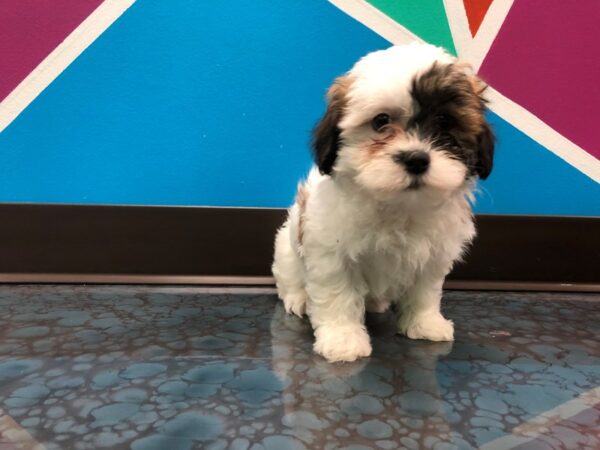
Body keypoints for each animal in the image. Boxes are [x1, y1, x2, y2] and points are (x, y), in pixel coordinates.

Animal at [272, 43, 492, 362]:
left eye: (444, 121)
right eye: (380, 121)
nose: (416, 159)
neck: (398, 206)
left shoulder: (434, 254)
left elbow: (425, 291)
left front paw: (425, 323)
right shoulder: (330, 253)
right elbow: (337, 294)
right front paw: (343, 340)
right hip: (287, 249)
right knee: (290, 276)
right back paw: (298, 299)